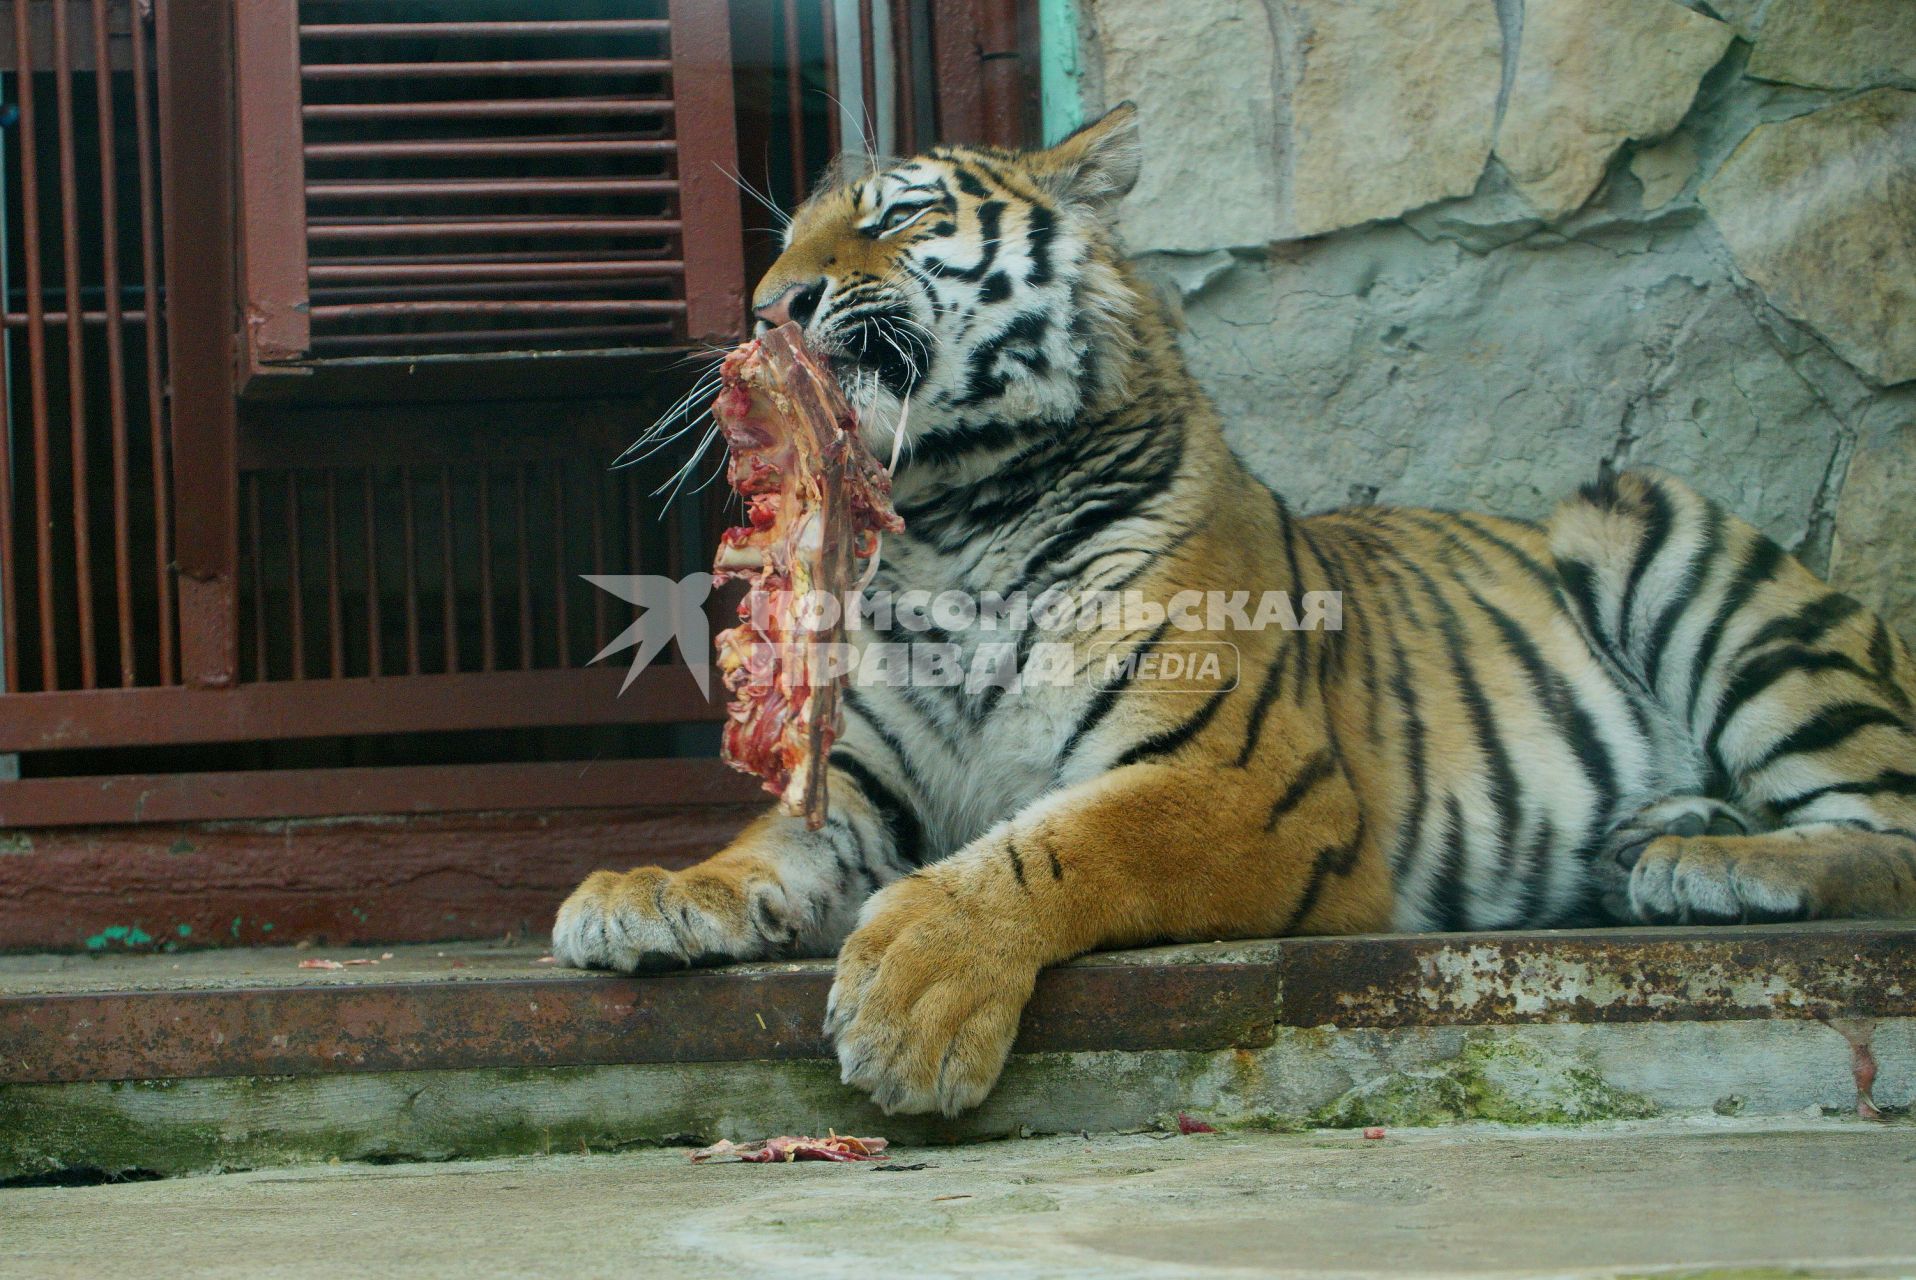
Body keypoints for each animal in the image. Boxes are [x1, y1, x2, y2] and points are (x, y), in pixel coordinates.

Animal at [551, 104, 1916, 1111]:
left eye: (899, 215)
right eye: (786, 243)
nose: (767, 309)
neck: (949, 524)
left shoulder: (1243, 777)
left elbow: (1057, 845)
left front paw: (914, 996)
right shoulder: (865, 789)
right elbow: (760, 847)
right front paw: (647, 891)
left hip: (1648, 528)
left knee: (1887, 827)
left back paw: (1714, 862)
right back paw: (1655, 837)